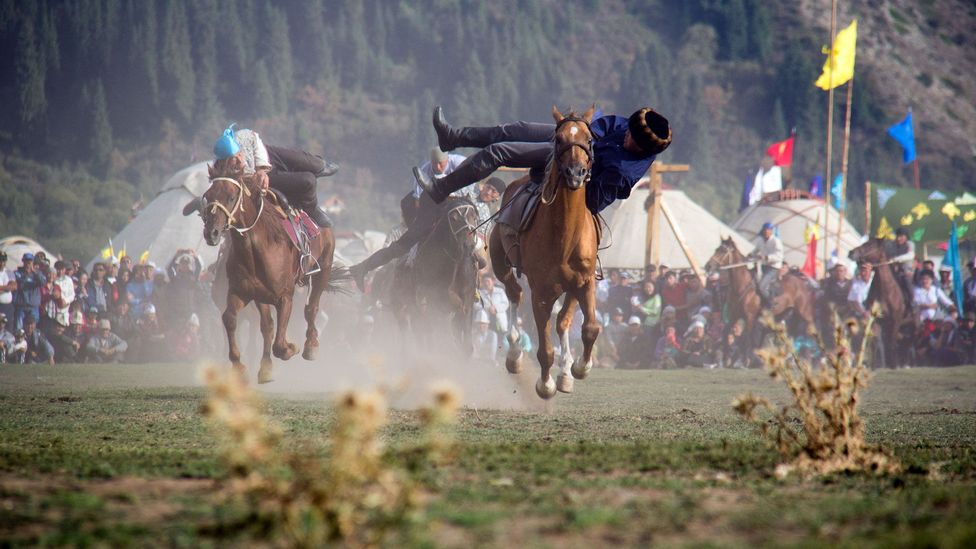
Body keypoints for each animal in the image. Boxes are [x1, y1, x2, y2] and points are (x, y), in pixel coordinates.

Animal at [196, 157, 342, 382]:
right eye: (208, 196)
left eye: (231, 197)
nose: (211, 232)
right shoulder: (242, 293)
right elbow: (232, 320)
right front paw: (240, 366)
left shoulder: (285, 296)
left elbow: (280, 344)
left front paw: (292, 347)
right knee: (267, 325)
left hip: (324, 267)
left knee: (311, 308)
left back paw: (311, 345)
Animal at [388, 195, 480, 354]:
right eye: (453, 218)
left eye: (473, 217)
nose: (468, 245)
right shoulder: (435, 303)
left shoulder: (467, 302)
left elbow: (466, 346)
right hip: (402, 307)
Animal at [488, 106, 604, 398]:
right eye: (559, 139)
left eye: (589, 139)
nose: (576, 173)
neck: (564, 237)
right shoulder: (540, 291)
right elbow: (545, 349)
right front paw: (545, 384)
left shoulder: (585, 281)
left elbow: (589, 328)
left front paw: (579, 368)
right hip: (499, 262)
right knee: (514, 292)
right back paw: (515, 354)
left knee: (562, 320)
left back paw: (565, 372)